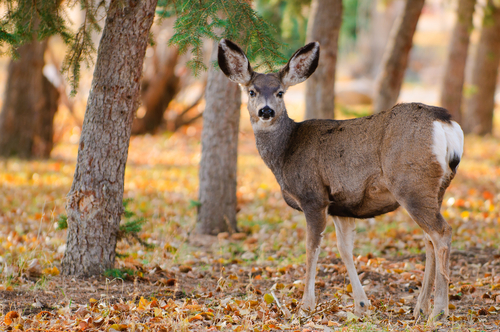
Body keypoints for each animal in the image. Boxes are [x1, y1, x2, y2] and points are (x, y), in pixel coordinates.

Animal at [219, 39, 464, 322]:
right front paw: (361, 305)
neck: (285, 151)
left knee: (441, 233)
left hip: (411, 183)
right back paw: (420, 307)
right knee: (429, 238)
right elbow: (345, 249)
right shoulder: (342, 206)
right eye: (251, 91)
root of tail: (445, 123)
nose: (266, 111)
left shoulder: (313, 197)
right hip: (436, 188)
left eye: (280, 92)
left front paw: (306, 305)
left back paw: (439, 310)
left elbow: (311, 248)